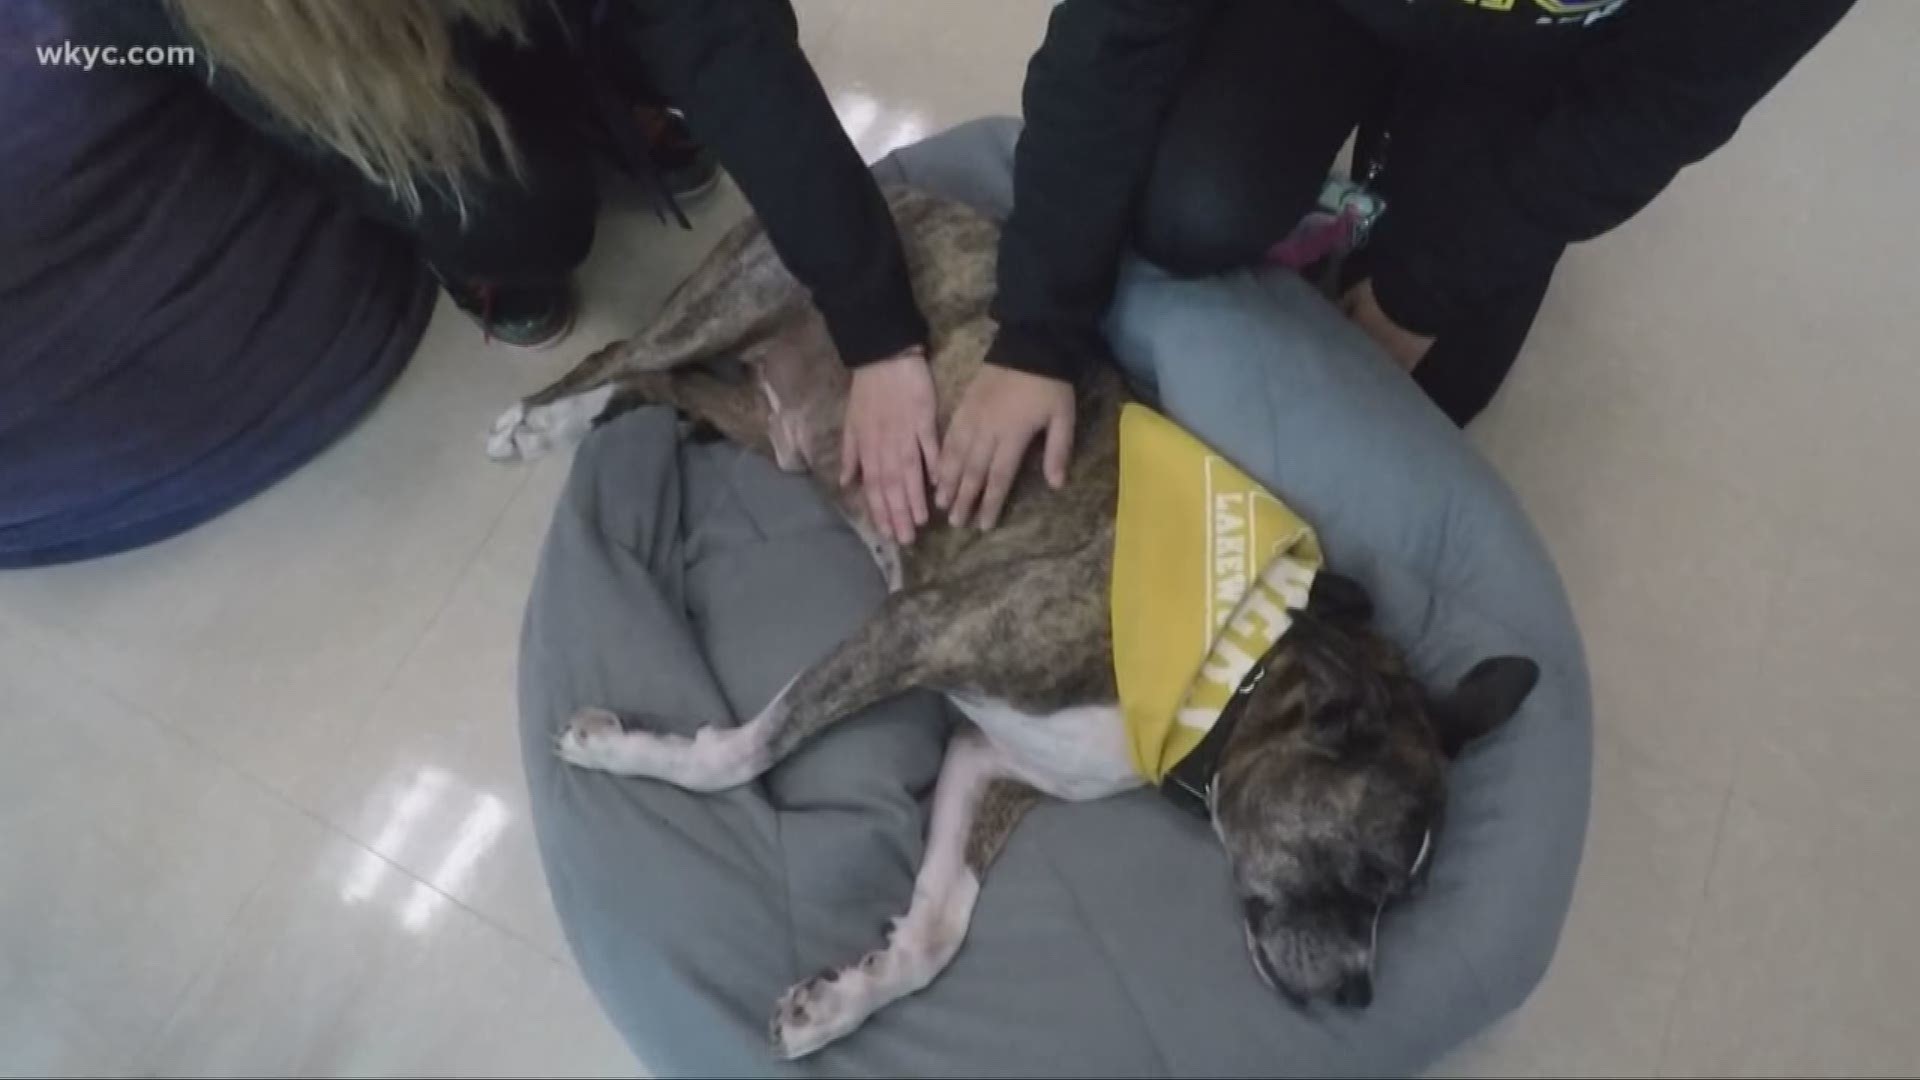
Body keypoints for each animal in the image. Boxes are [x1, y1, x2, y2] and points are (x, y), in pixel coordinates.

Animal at [487, 187, 1536, 1060]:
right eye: (1367, 870)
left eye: (1405, 894)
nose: (1361, 996)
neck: (1224, 672)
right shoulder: (915, 628)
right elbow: (741, 754)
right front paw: (620, 749)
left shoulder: (988, 760)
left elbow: (939, 929)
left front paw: (842, 999)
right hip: (731, 301)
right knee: (622, 355)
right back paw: (533, 423)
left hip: (773, 426)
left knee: (672, 391)